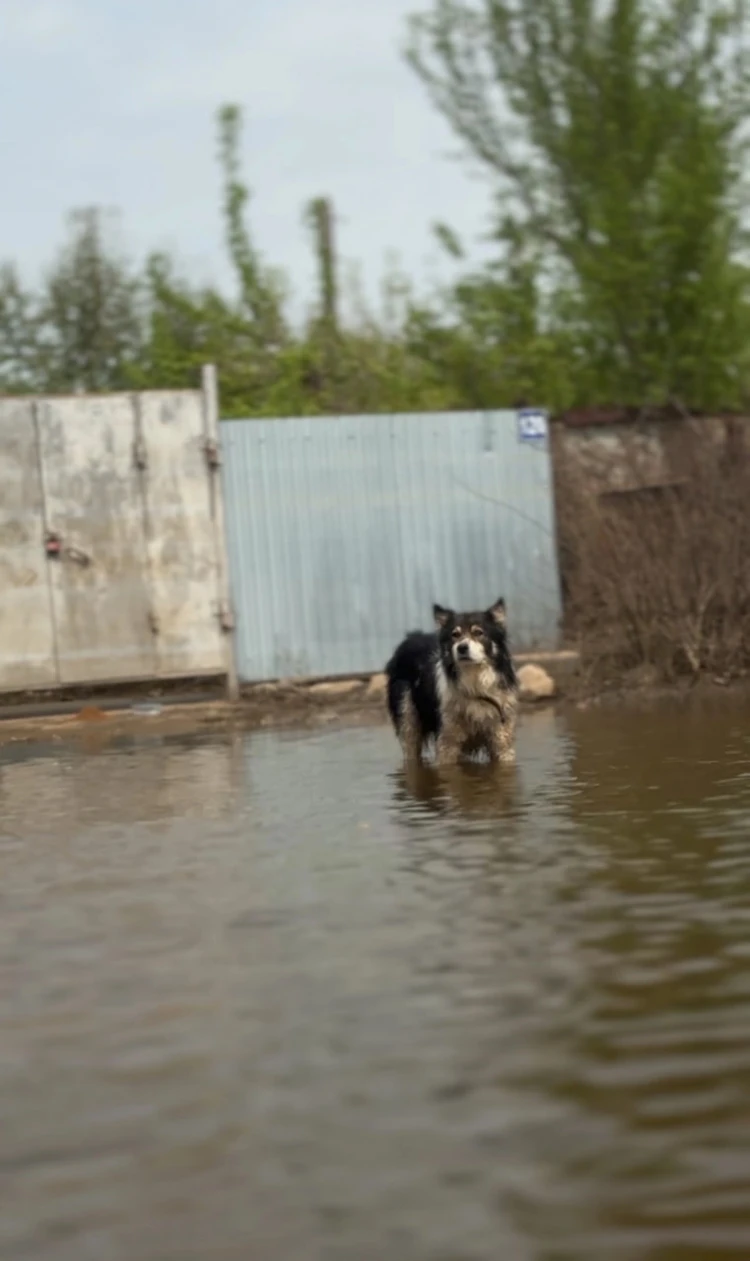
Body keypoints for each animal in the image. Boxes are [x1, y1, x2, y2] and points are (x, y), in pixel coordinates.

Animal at [383, 595, 519, 761]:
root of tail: (410, 637)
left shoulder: (502, 739)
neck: (474, 681)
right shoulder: (447, 740)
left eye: (478, 633)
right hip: (407, 718)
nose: (462, 648)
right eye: (455, 635)